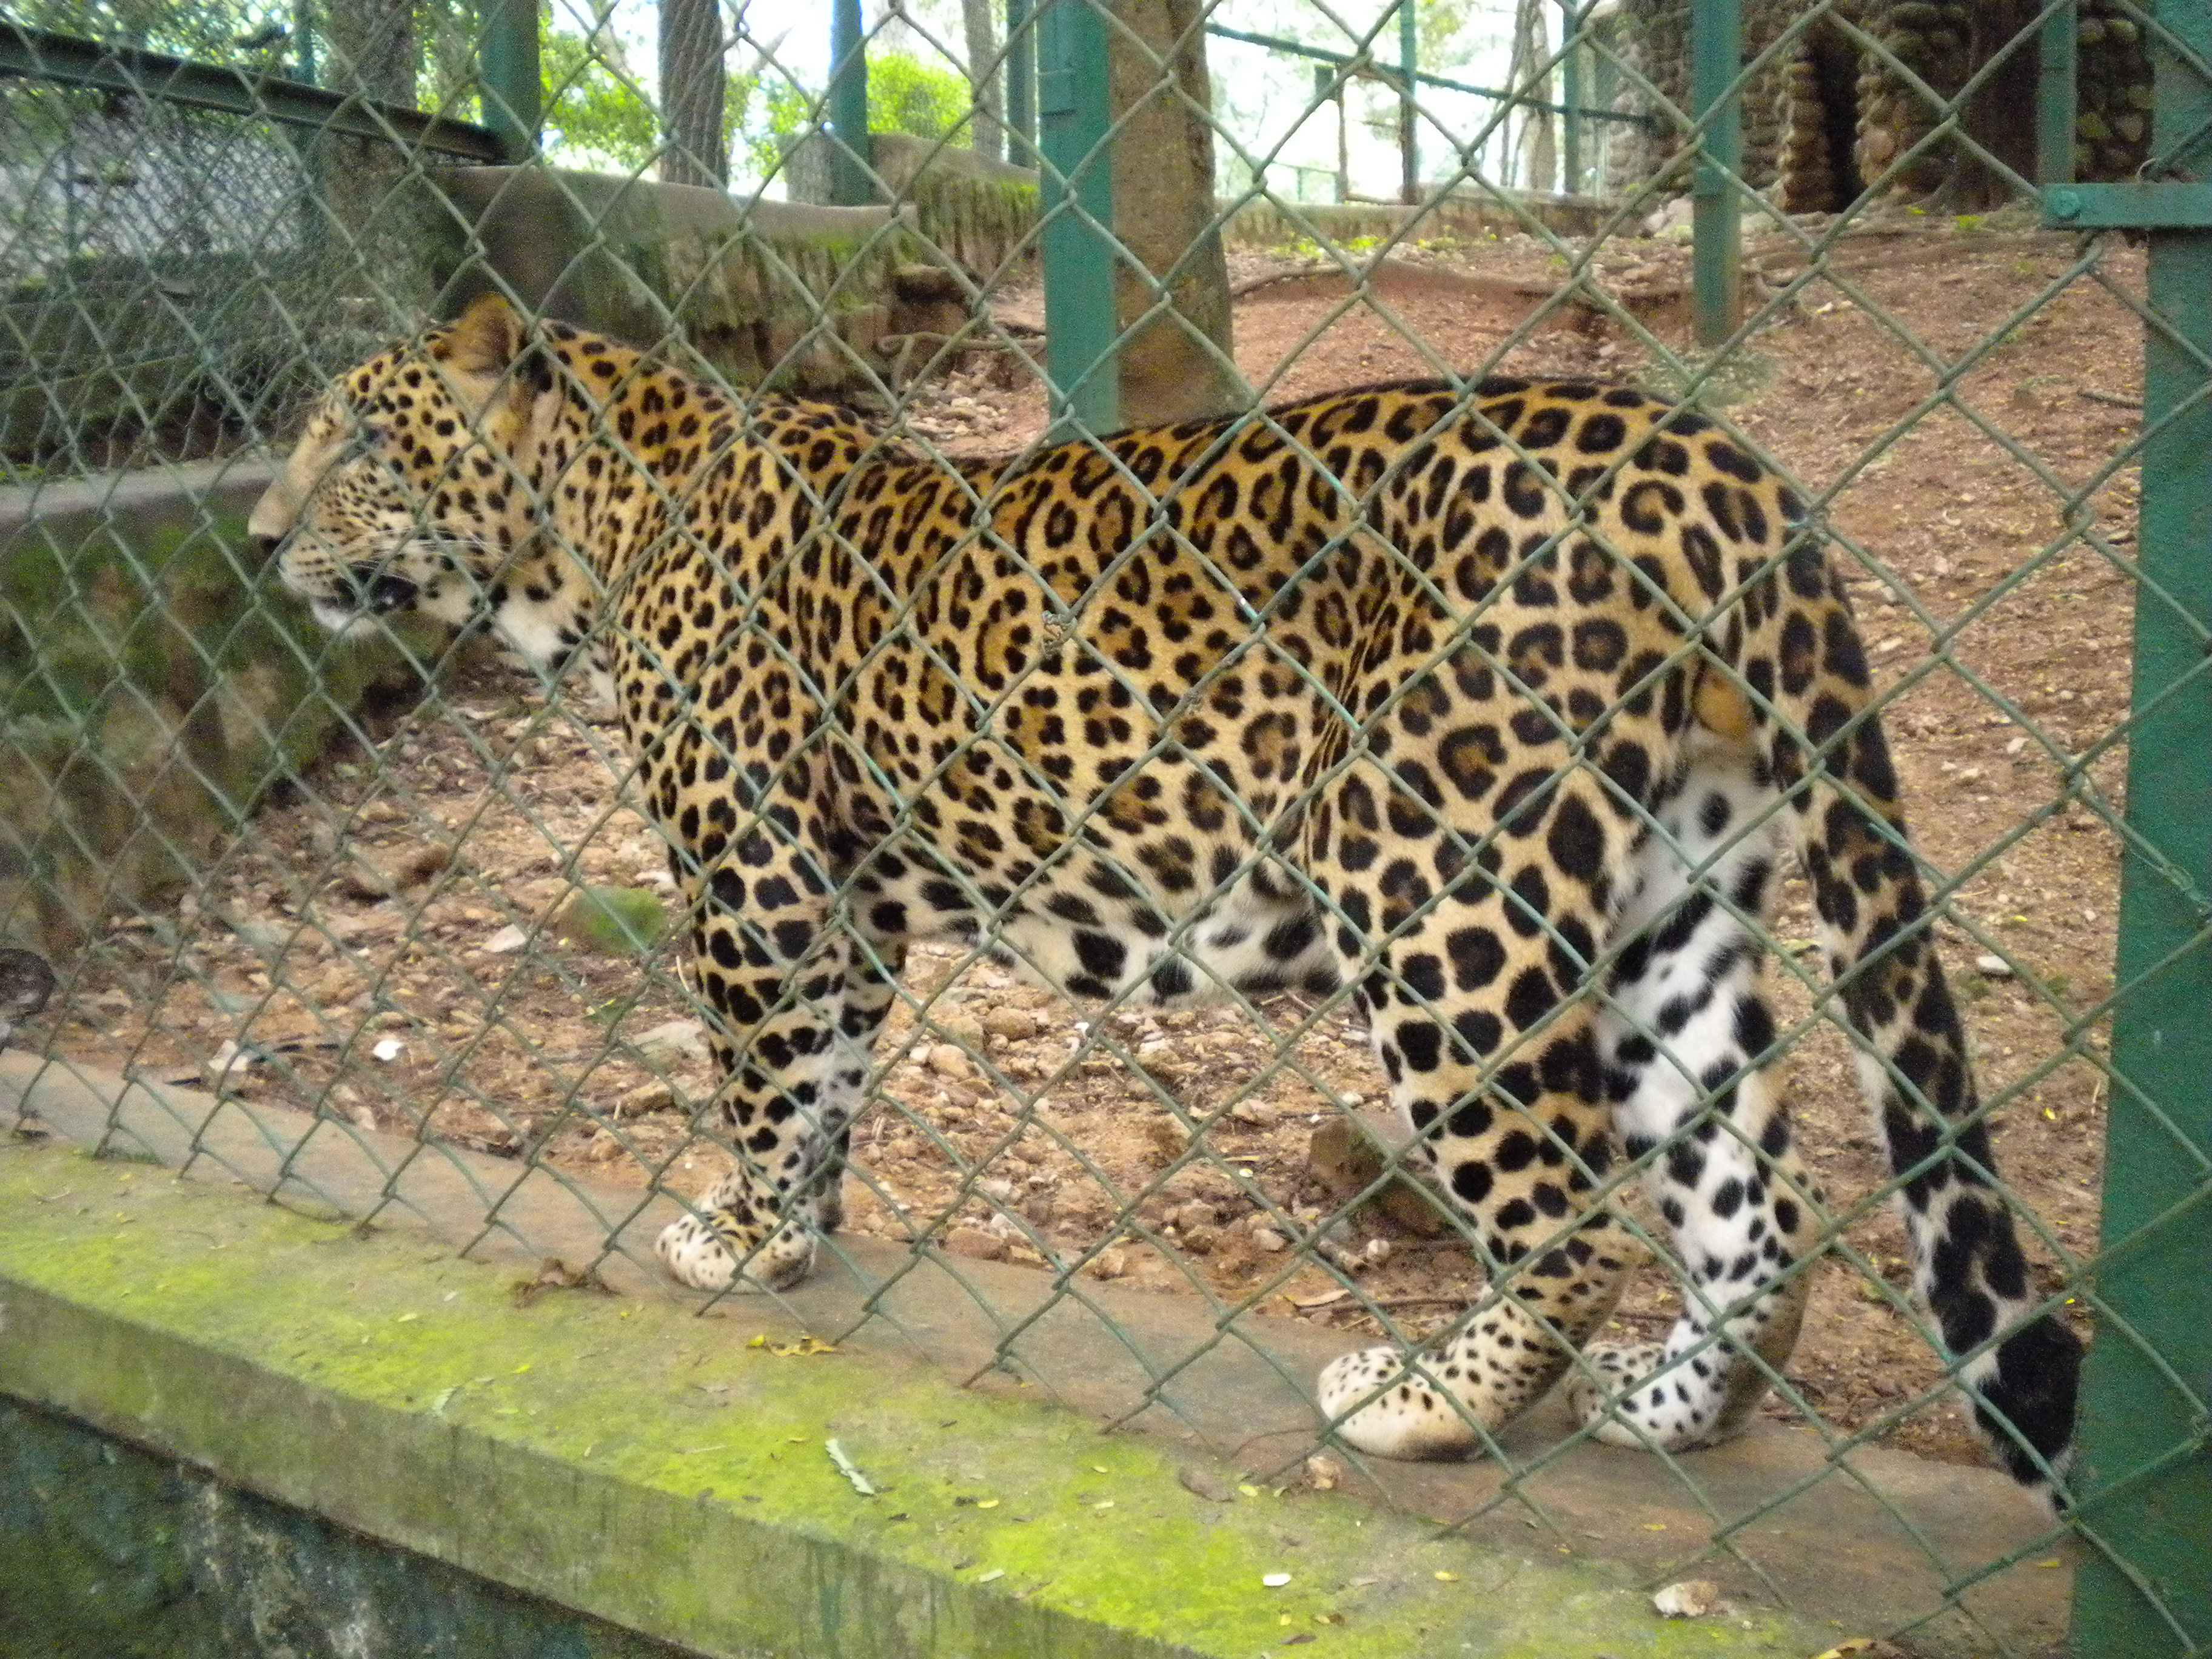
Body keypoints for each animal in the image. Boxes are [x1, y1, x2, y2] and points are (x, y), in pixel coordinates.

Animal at [251, 292, 2079, 1504]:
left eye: (353, 443)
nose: (260, 540)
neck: (594, 534)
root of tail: (1714, 460)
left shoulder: (754, 875)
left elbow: (765, 1074)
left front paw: (741, 1233)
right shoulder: (848, 898)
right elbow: (829, 1076)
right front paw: (799, 1233)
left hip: (1432, 888)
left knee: (1565, 1214)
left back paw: (1428, 1397)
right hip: (1673, 890)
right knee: (1757, 1203)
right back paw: (1676, 1408)